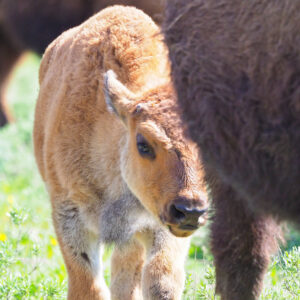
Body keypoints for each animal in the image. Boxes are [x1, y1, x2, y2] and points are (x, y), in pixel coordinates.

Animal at [32, 7, 206, 300]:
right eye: (143, 143)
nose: (191, 210)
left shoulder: (159, 225)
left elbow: (160, 280)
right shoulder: (69, 215)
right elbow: (88, 286)